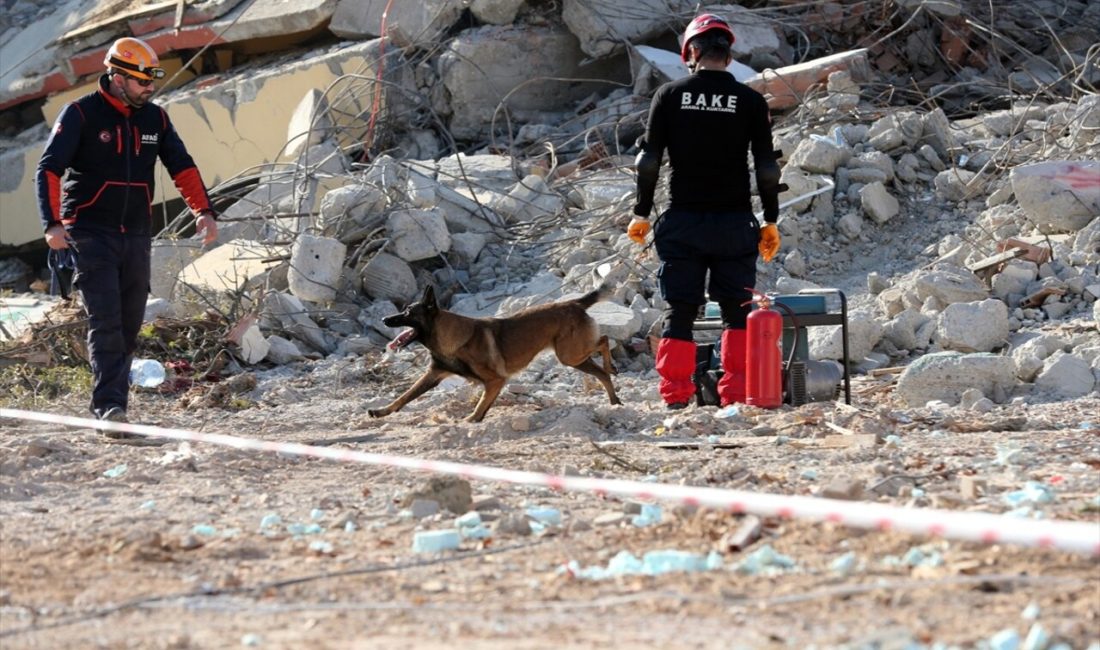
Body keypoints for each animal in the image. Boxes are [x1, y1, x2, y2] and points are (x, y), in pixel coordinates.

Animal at [369, 285, 624, 422]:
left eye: (407, 313)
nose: (384, 319)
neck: (449, 336)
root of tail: (575, 303)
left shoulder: (495, 381)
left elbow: (480, 405)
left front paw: (469, 421)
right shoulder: (433, 375)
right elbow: (404, 397)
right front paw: (382, 411)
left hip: (570, 355)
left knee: (604, 340)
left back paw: (611, 368)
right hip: (574, 357)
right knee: (602, 372)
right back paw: (614, 399)